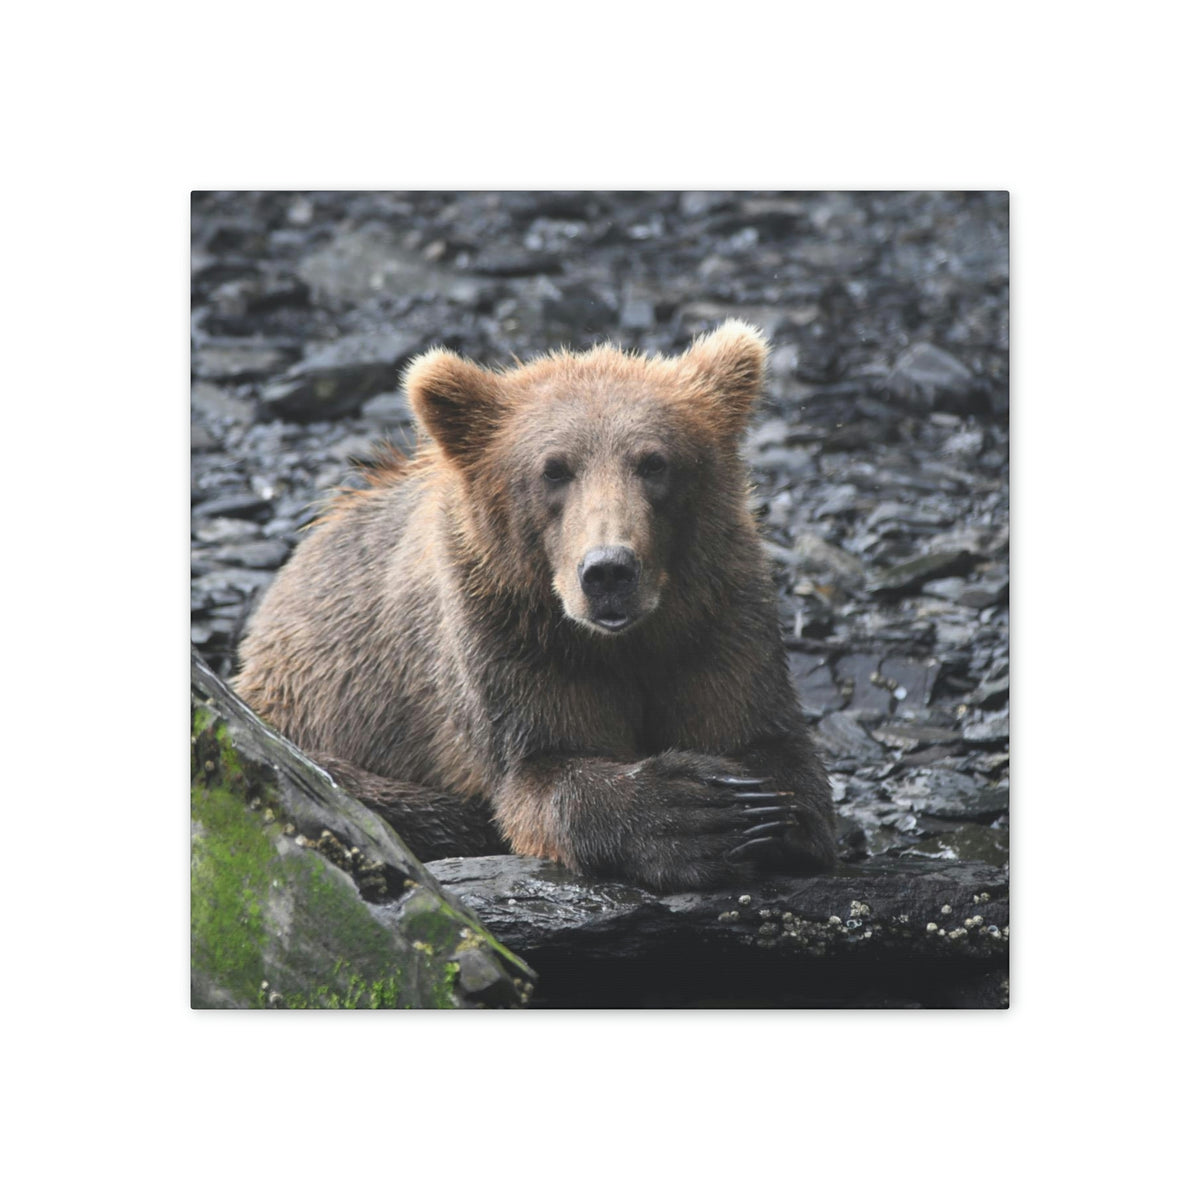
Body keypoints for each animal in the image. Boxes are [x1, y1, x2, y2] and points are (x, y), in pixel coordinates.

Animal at [233, 320, 836, 891]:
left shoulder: (716, 616)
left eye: (654, 463)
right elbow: (540, 770)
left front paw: (759, 809)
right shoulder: (508, 636)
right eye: (554, 469)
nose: (609, 571)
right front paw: (694, 813)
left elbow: (765, 739)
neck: (621, 641)